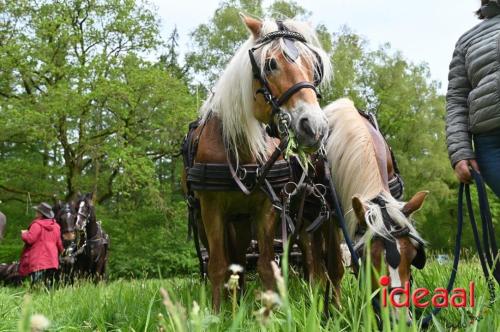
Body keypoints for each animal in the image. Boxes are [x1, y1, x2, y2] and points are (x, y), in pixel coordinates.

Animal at [184, 14, 332, 312]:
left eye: (315, 67)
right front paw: (215, 314)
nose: (314, 127)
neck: (241, 153)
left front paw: (270, 314)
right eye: (271, 64)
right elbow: (217, 265)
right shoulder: (211, 208)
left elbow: (266, 267)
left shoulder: (267, 208)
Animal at [322, 98, 428, 322]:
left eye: (414, 255)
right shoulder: (330, 216)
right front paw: (336, 312)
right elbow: (335, 266)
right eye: (368, 257)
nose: (399, 321)